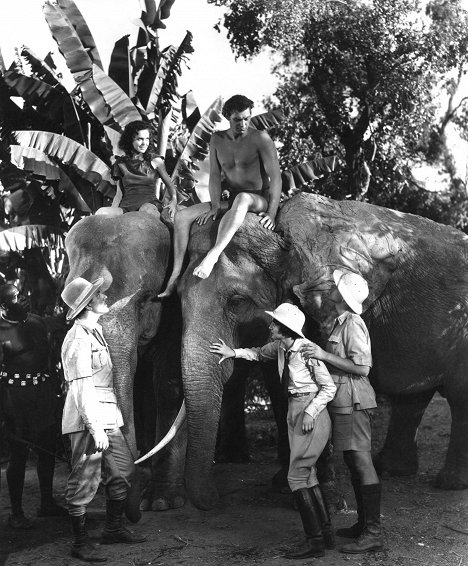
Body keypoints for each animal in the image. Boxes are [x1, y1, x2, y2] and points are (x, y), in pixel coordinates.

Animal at [175, 193, 468, 512]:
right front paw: (284, 484)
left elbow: (326, 376)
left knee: (458, 395)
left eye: (237, 301)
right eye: (177, 296)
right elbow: (279, 383)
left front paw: (322, 491)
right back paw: (391, 469)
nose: (216, 498)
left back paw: (449, 483)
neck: (282, 239)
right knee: (413, 397)